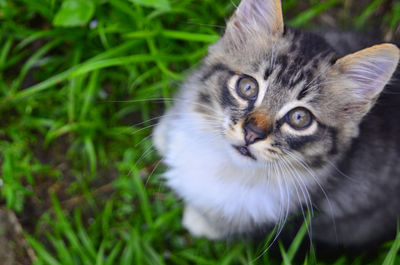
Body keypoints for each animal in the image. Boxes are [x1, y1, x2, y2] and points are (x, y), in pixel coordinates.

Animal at [153, 0, 400, 246]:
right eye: (248, 87)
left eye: (299, 118)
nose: (252, 133)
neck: (225, 162)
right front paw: (164, 134)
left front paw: (202, 221)